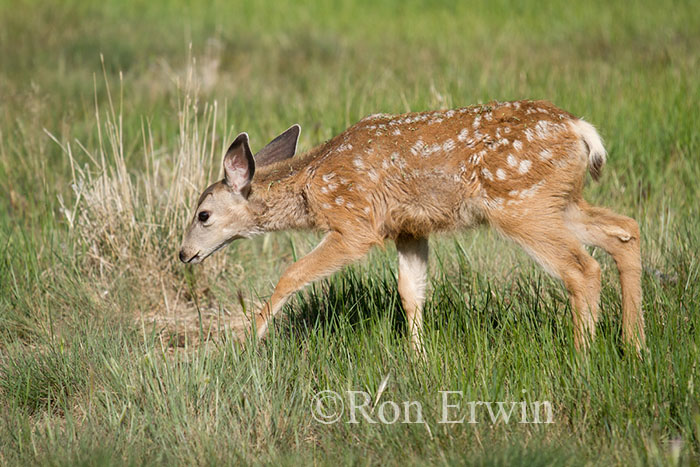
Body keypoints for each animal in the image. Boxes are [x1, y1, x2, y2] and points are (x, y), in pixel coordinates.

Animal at [179, 100, 645, 354]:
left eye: (203, 215)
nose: (184, 254)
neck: (313, 185)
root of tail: (581, 130)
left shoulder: (355, 224)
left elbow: (291, 274)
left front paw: (251, 338)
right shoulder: (409, 229)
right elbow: (411, 291)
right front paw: (419, 356)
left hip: (520, 203)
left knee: (581, 267)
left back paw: (582, 355)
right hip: (561, 200)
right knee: (625, 230)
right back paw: (633, 346)